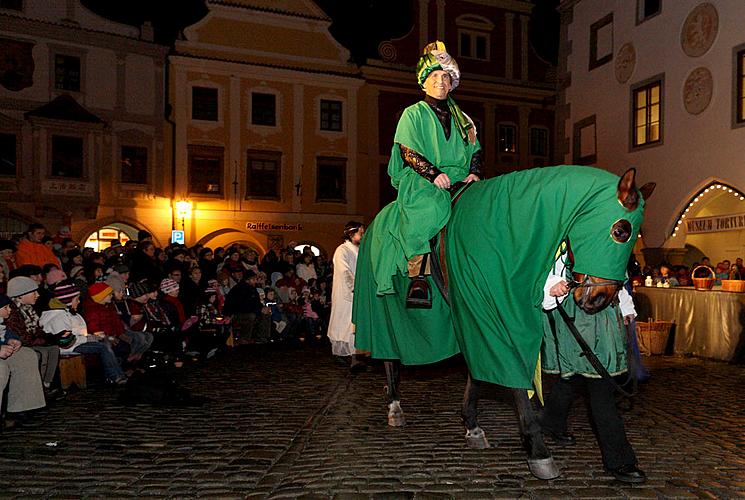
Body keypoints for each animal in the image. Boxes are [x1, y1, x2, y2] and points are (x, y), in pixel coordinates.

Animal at [352, 165, 652, 480]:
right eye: (621, 230)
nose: (601, 299)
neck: (508, 231)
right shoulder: (489, 315)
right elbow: (512, 375)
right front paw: (539, 451)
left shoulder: (485, 318)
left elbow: (478, 373)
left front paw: (472, 425)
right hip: (379, 314)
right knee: (388, 358)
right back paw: (394, 406)